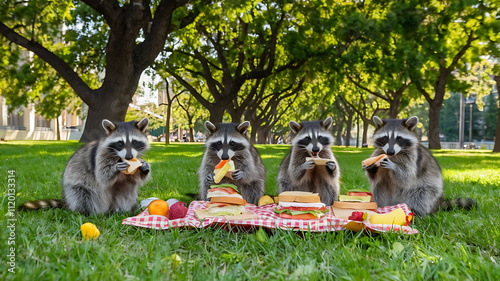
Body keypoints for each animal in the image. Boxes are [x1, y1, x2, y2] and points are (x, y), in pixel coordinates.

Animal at [18, 117, 151, 213]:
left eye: (134, 142)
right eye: (120, 143)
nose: (129, 157)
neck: (119, 157)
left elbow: (134, 178)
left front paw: (144, 168)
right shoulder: (100, 156)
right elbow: (102, 176)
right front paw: (114, 169)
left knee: (127, 191)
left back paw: (121, 210)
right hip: (76, 186)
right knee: (82, 195)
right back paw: (85, 212)